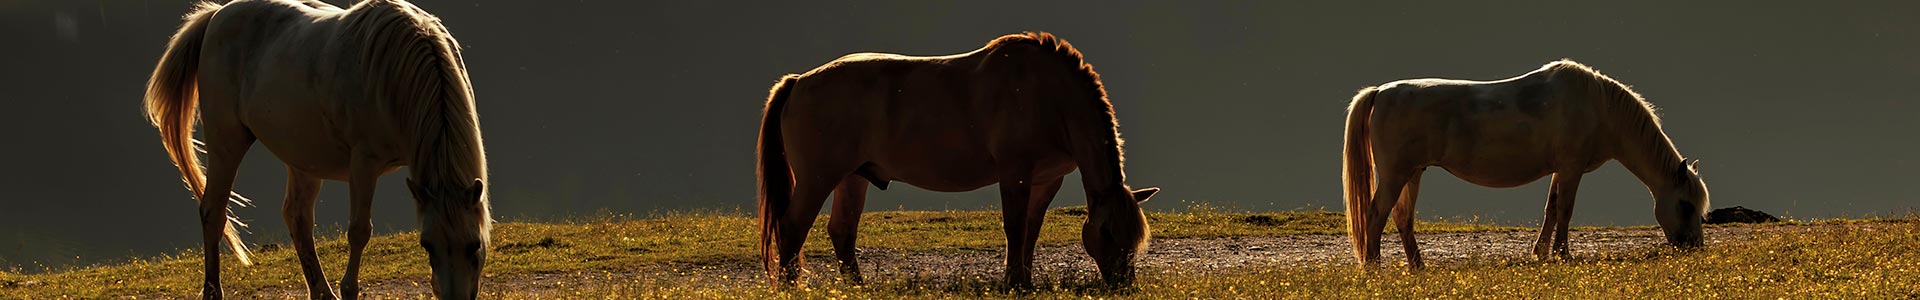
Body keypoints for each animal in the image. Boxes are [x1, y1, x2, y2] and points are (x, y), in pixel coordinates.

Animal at [143, 1, 487, 298]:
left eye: (474, 245)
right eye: (427, 244)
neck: (395, 72)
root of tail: (217, 15)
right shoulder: (364, 164)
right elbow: (359, 231)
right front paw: (349, 289)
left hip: (302, 158)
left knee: (297, 218)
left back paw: (322, 292)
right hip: (226, 143)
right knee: (213, 212)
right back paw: (214, 291)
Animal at [756, 32, 1159, 288]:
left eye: (1134, 238)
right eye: (1107, 232)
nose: (1123, 284)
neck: (1048, 95)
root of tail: (798, 82)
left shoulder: (1047, 180)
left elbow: (1031, 230)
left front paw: (1025, 278)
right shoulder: (1014, 173)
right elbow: (1015, 227)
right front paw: (1014, 282)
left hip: (851, 177)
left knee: (841, 231)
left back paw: (857, 287)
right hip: (818, 178)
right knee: (792, 227)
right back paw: (793, 287)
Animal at [1344, 59, 1720, 269]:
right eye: (1685, 205)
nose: (1694, 247)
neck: (1599, 107)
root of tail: (1381, 92)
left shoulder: (1560, 169)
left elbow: (1551, 209)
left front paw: (1541, 253)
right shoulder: (1571, 167)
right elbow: (1565, 210)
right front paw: (1563, 255)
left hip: (1412, 173)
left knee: (1402, 219)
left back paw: (1418, 266)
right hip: (1395, 174)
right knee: (1376, 215)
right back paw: (1373, 267)